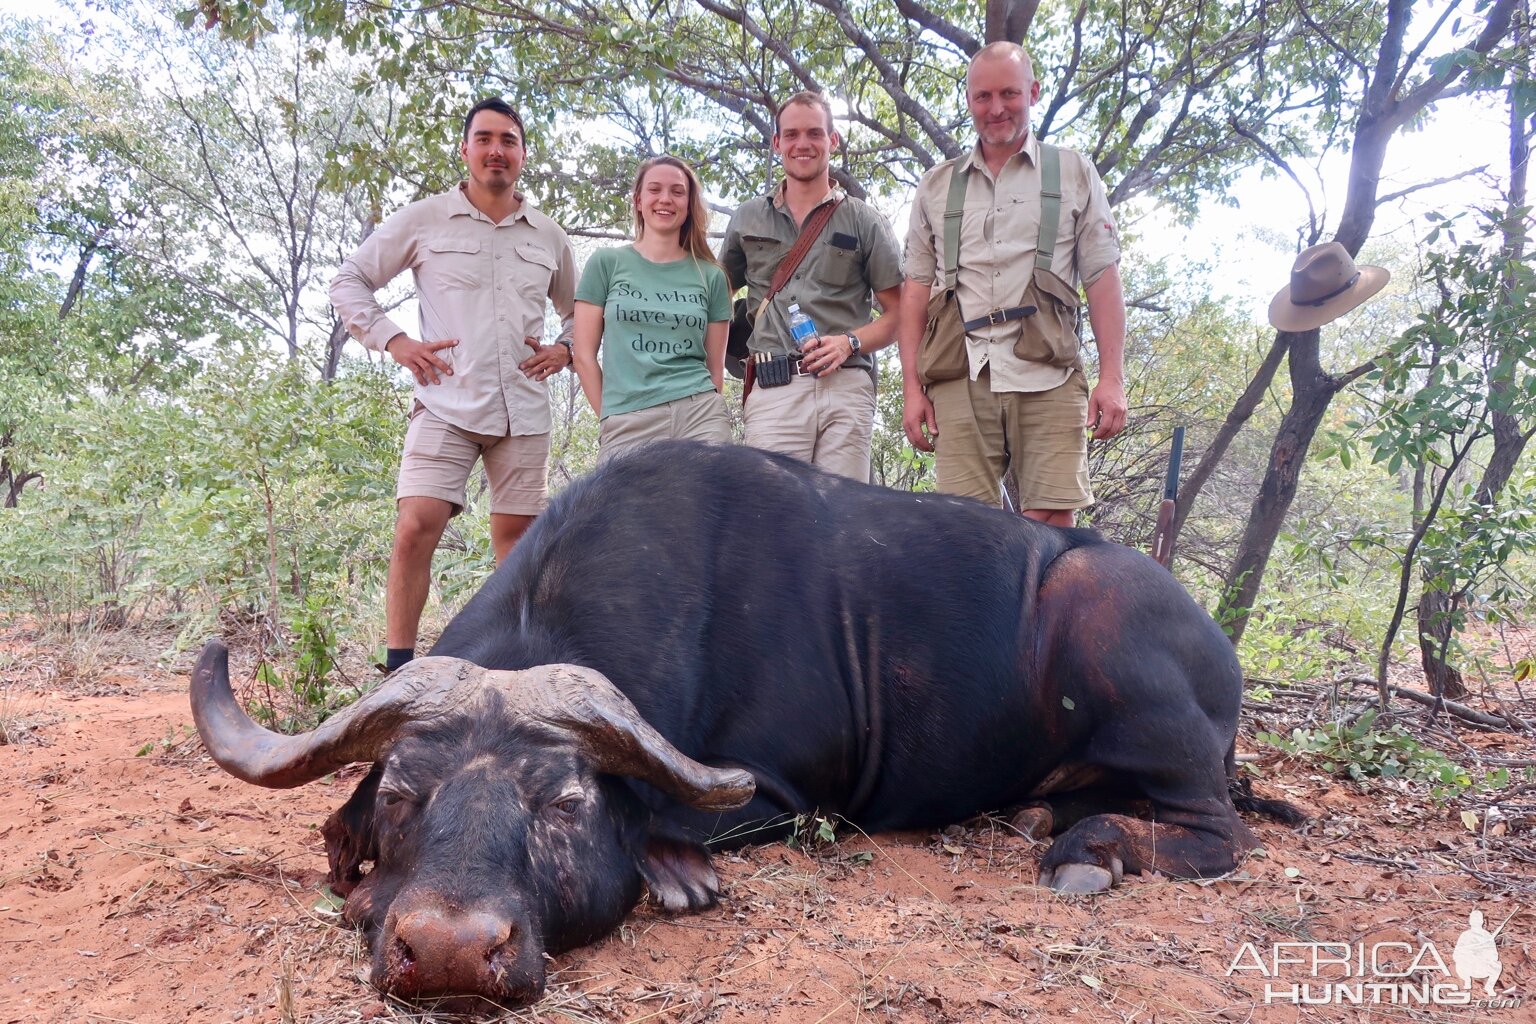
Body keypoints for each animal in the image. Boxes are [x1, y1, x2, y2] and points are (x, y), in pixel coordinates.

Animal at [192, 442, 1296, 1007]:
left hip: (1118, 647)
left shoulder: (787, 792)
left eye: (563, 802)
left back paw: (1087, 848)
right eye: (404, 795)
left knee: (1214, 830)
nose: (455, 951)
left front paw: (677, 873)